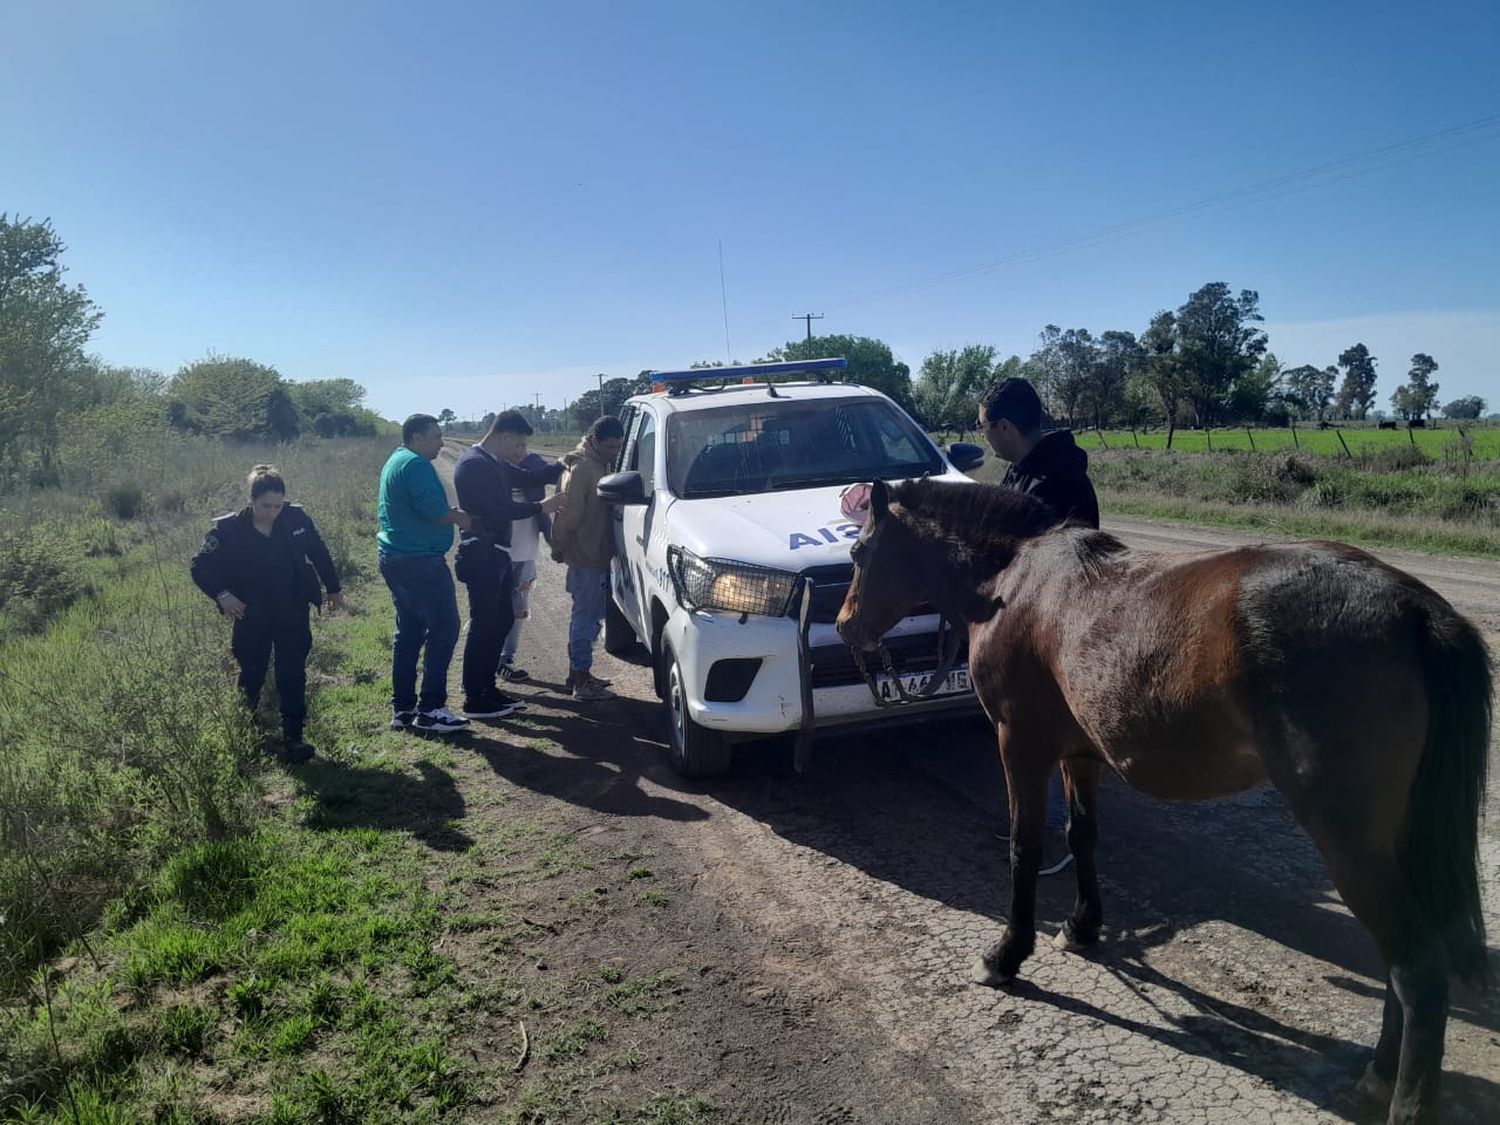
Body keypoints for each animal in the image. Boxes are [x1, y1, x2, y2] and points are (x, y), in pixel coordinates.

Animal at [834, 477, 1488, 1125]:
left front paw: (1006, 955)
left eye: (860, 552)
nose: (844, 627)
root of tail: (1413, 610)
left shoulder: (1019, 746)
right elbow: (1081, 837)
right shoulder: (1078, 755)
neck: (1014, 582)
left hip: (1349, 842)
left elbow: (1024, 848)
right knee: (1400, 961)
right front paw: (1081, 926)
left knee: (1417, 972)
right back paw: (1376, 1076)